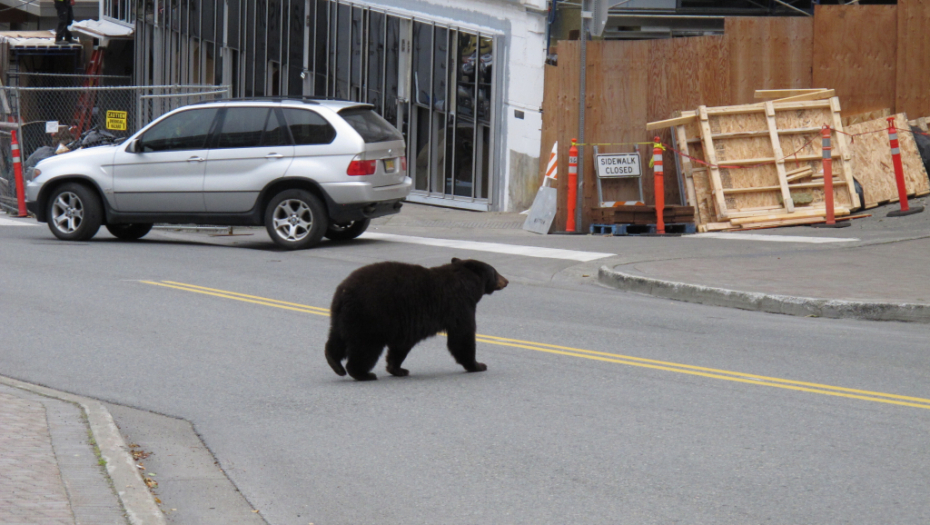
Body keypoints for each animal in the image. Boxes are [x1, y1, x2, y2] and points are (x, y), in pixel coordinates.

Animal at [320, 258, 508, 380]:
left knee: (337, 338)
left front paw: (398, 369)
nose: (506, 281)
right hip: (370, 316)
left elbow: (401, 345)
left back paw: (335, 363)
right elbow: (462, 337)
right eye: (495, 271)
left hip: (343, 317)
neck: (467, 282)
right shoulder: (459, 305)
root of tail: (343, 292)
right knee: (365, 347)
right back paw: (363, 373)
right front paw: (478, 365)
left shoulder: (407, 323)